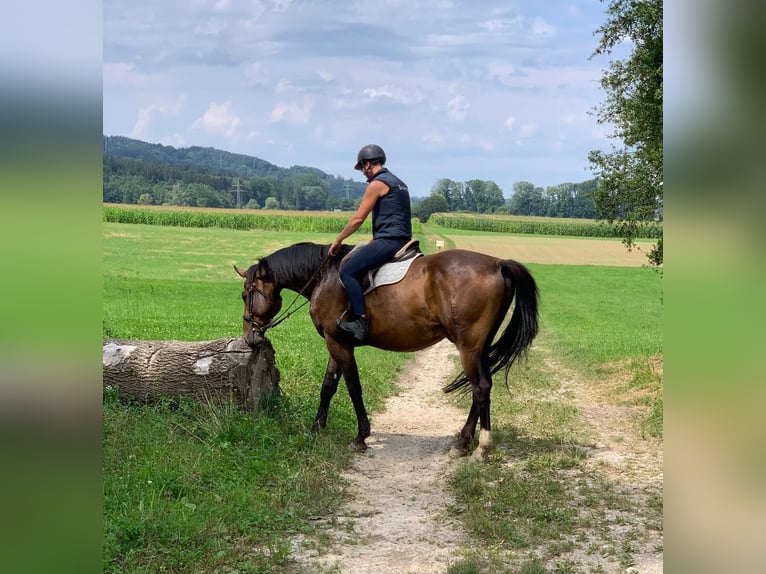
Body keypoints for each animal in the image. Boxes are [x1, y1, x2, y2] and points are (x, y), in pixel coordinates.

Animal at [234, 243, 540, 464]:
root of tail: (498, 264)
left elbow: (353, 387)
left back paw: (481, 447)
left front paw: (361, 436)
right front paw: (316, 428)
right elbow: (328, 386)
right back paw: (463, 442)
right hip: (480, 348)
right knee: (481, 389)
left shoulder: (339, 344)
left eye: (245, 295)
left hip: (469, 347)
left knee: (481, 388)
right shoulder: (336, 343)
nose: (249, 336)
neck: (326, 276)